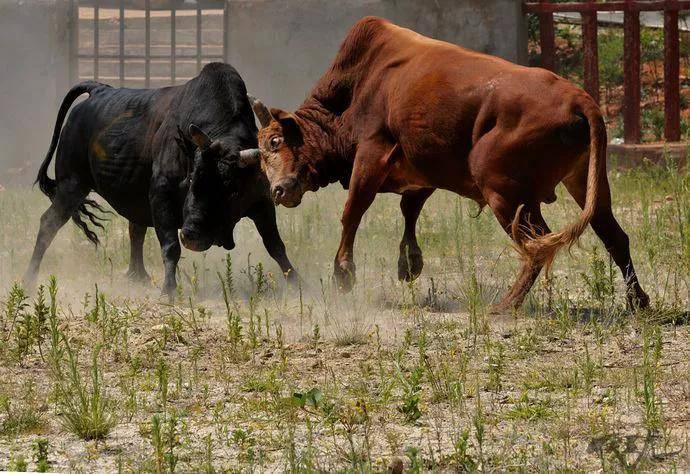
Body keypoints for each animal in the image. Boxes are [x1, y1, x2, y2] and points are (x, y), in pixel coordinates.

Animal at [23, 61, 296, 294]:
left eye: (232, 190)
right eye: (191, 181)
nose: (191, 235)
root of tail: (98, 90)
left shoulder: (262, 201)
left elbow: (275, 244)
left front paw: (296, 281)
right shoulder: (161, 195)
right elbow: (170, 246)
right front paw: (168, 290)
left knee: (135, 228)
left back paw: (137, 275)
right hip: (72, 184)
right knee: (48, 224)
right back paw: (29, 279)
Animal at [239, 15, 648, 312]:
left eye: (275, 141)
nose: (278, 190)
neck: (360, 86)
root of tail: (580, 99)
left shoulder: (370, 155)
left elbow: (352, 211)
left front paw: (344, 274)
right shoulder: (419, 173)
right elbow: (409, 210)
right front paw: (409, 264)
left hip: (504, 192)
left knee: (537, 245)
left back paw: (506, 305)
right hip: (584, 183)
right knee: (613, 235)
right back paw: (637, 301)